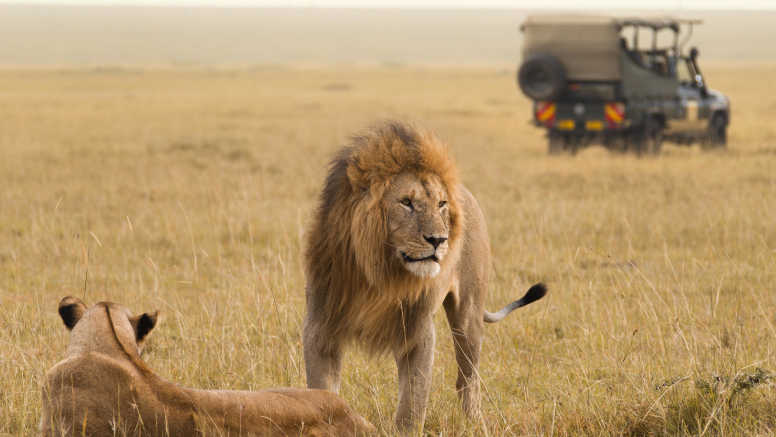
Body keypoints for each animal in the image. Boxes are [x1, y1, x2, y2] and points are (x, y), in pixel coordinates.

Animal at [303, 121, 547, 433]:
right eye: (406, 202)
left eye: (441, 204)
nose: (438, 240)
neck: (380, 274)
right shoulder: (320, 326)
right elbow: (321, 391)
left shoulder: (418, 330)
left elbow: (413, 400)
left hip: (468, 315)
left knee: (467, 378)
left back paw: (474, 422)